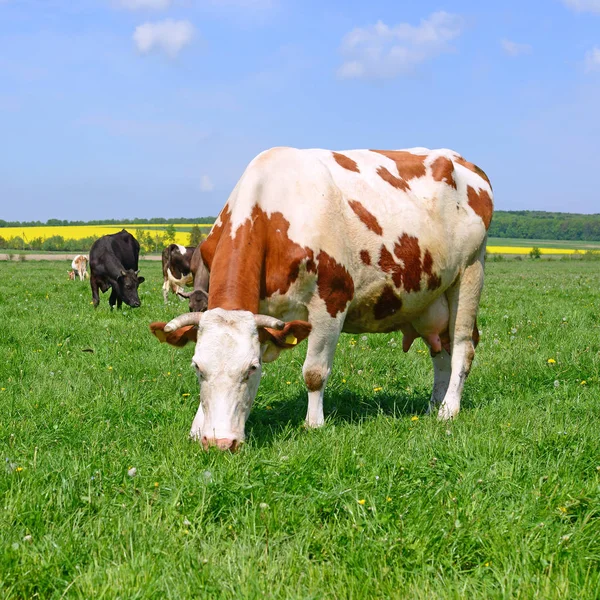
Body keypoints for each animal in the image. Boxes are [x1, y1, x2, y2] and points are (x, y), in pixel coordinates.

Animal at [150, 148, 492, 450]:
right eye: (197, 368)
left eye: (252, 369)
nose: (221, 443)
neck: (272, 215)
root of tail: (463, 162)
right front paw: (198, 429)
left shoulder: (331, 303)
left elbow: (314, 373)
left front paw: (314, 424)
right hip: (430, 302)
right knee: (440, 351)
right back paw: (433, 405)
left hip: (470, 273)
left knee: (462, 348)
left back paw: (448, 410)